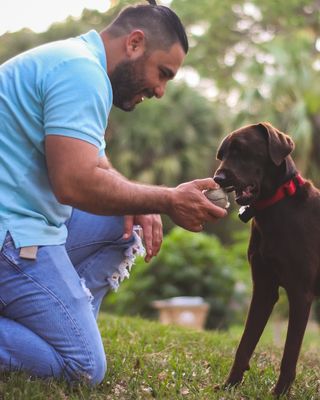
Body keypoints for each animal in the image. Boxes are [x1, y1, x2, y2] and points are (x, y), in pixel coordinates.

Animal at [214, 122, 320, 396]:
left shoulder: (300, 292)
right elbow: (245, 344)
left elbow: (289, 353)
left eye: (241, 151)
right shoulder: (263, 288)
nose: (218, 178)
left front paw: (280, 392)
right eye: (222, 155)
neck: (275, 207)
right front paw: (230, 385)